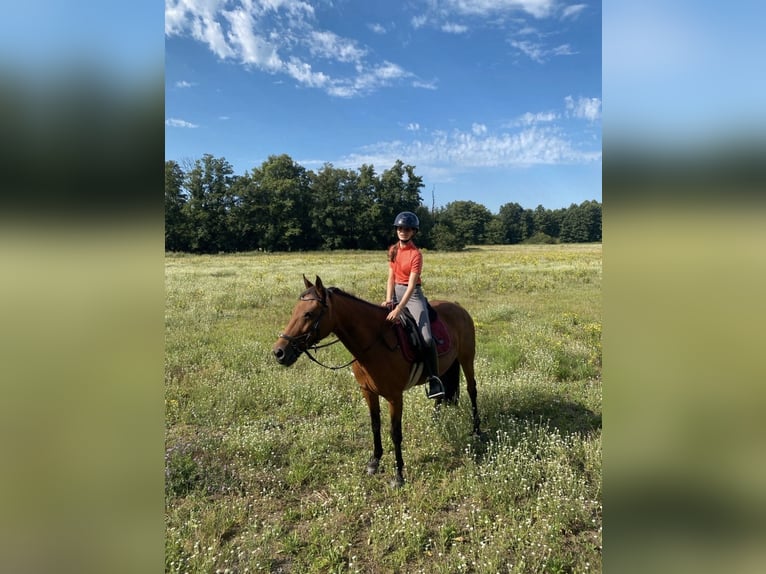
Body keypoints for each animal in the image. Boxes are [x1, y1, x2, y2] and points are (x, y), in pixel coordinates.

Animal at [272, 275, 481, 488]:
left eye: (308, 314)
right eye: (294, 311)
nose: (279, 352)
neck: (376, 342)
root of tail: (458, 307)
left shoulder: (395, 397)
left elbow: (395, 433)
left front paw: (398, 474)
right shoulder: (368, 392)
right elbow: (375, 425)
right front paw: (375, 462)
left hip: (466, 358)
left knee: (472, 390)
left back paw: (476, 430)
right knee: (441, 392)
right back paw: (436, 421)